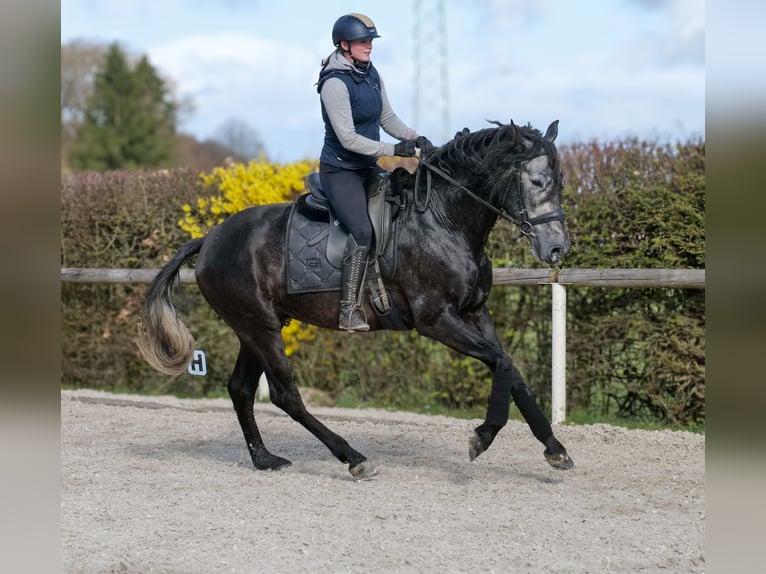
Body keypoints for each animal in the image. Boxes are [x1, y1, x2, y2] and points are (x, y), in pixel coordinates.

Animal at [138, 119, 574, 479]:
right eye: (537, 182)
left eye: (560, 184)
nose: (557, 249)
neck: (443, 220)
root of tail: (209, 238)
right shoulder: (437, 321)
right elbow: (501, 363)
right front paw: (482, 437)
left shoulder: (476, 314)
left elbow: (511, 370)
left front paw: (555, 449)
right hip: (259, 326)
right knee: (284, 394)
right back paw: (353, 458)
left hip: (257, 326)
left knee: (241, 389)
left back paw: (264, 459)